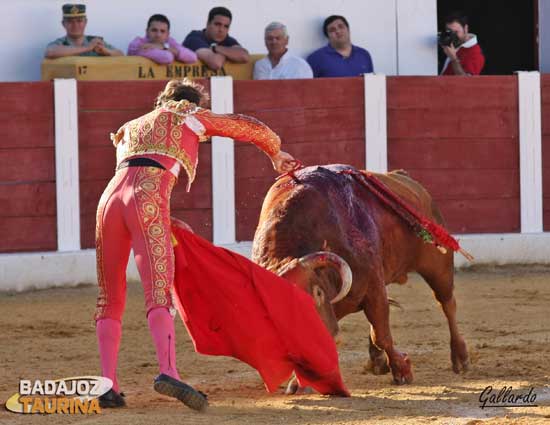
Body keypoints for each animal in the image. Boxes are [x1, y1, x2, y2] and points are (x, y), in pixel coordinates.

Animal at [252, 164, 472, 390]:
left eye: (318, 294)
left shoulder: (373, 288)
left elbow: (381, 335)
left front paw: (402, 370)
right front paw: (300, 382)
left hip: (438, 264)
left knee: (446, 303)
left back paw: (460, 358)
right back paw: (377, 361)